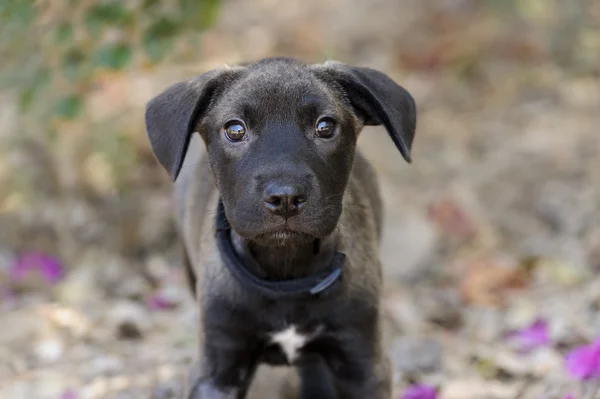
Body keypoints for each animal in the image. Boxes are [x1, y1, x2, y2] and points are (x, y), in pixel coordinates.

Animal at [145, 57, 418, 399]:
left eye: (325, 127)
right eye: (235, 129)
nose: (286, 197)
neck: (286, 275)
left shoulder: (364, 362)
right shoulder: (217, 372)